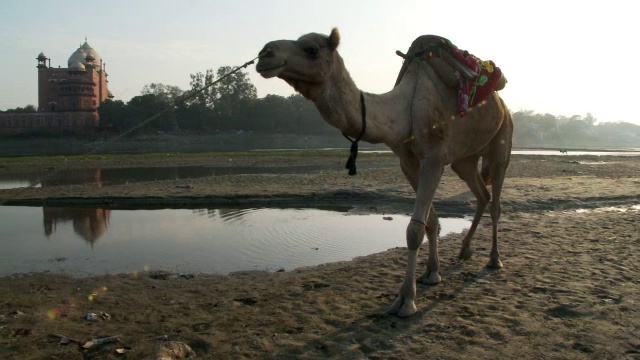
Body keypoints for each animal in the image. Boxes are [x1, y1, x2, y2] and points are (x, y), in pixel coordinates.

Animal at [258, 29, 512, 316]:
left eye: (312, 49)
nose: (265, 54)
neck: (404, 108)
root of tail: (502, 103)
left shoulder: (434, 157)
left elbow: (414, 230)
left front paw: (406, 300)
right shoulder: (408, 162)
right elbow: (431, 221)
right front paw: (432, 273)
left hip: (503, 136)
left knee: (496, 199)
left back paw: (494, 259)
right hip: (465, 159)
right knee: (481, 194)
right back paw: (465, 250)